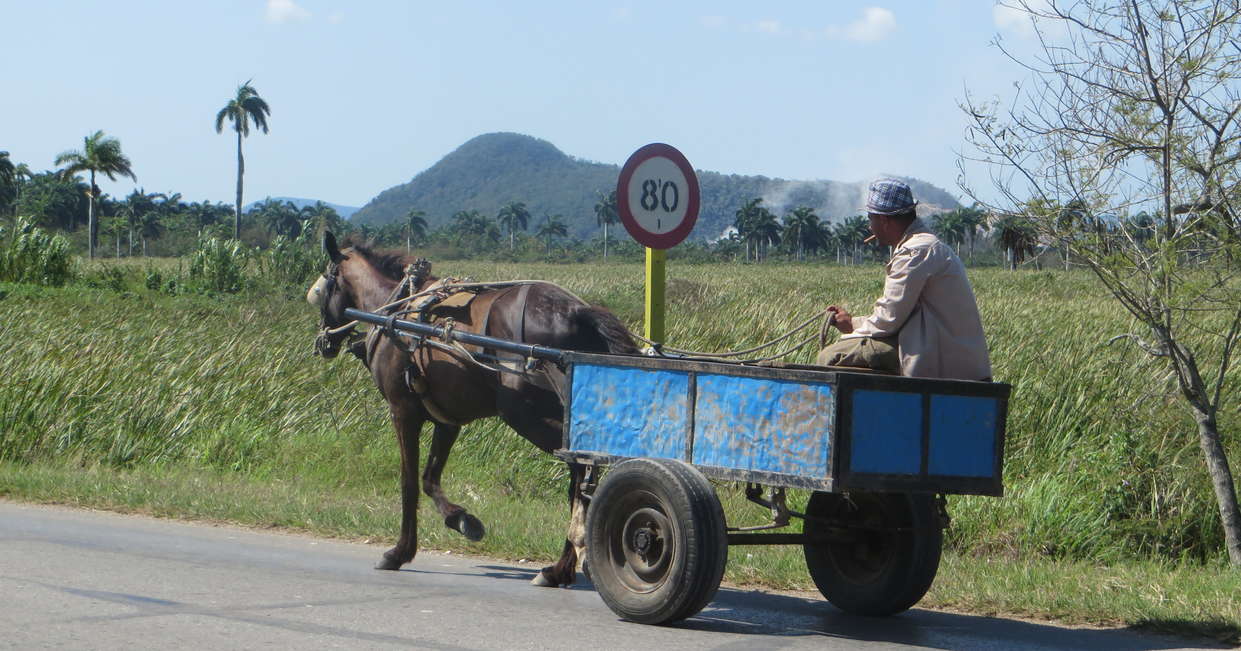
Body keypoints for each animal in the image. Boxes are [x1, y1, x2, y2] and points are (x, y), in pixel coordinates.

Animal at [307, 230, 640, 585]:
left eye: (324, 286)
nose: (324, 342)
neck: (396, 309)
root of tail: (577, 311)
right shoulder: (447, 419)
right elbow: (429, 477)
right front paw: (462, 520)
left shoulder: (403, 411)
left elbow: (408, 482)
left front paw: (399, 552)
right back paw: (563, 565)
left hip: (526, 414)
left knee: (583, 468)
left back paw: (568, 559)